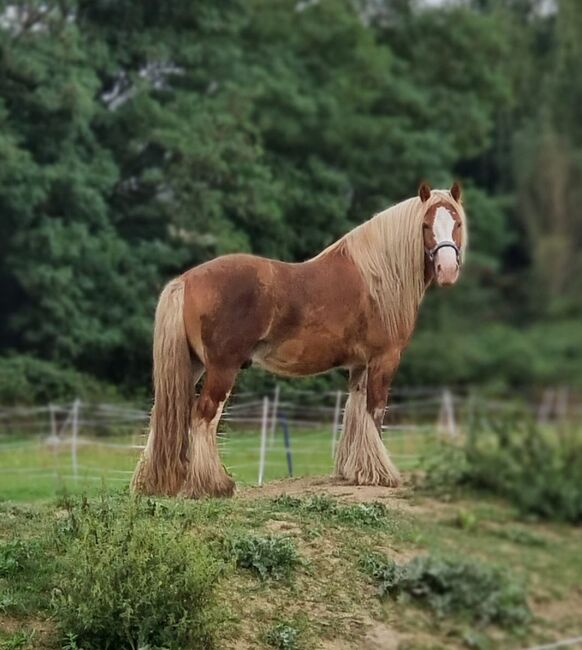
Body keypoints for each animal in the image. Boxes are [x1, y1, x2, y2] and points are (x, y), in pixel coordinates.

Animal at [132, 182, 470, 496]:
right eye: (425, 225)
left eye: (457, 223)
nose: (447, 270)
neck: (377, 276)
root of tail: (185, 280)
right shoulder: (384, 359)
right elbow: (374, 412)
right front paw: (381, 474)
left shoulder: (359, 366)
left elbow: (355, 412)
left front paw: (355, 471)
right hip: (222, 368)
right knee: (203, 416)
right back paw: (214, 485)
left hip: (192, 366)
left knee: (165, 414)